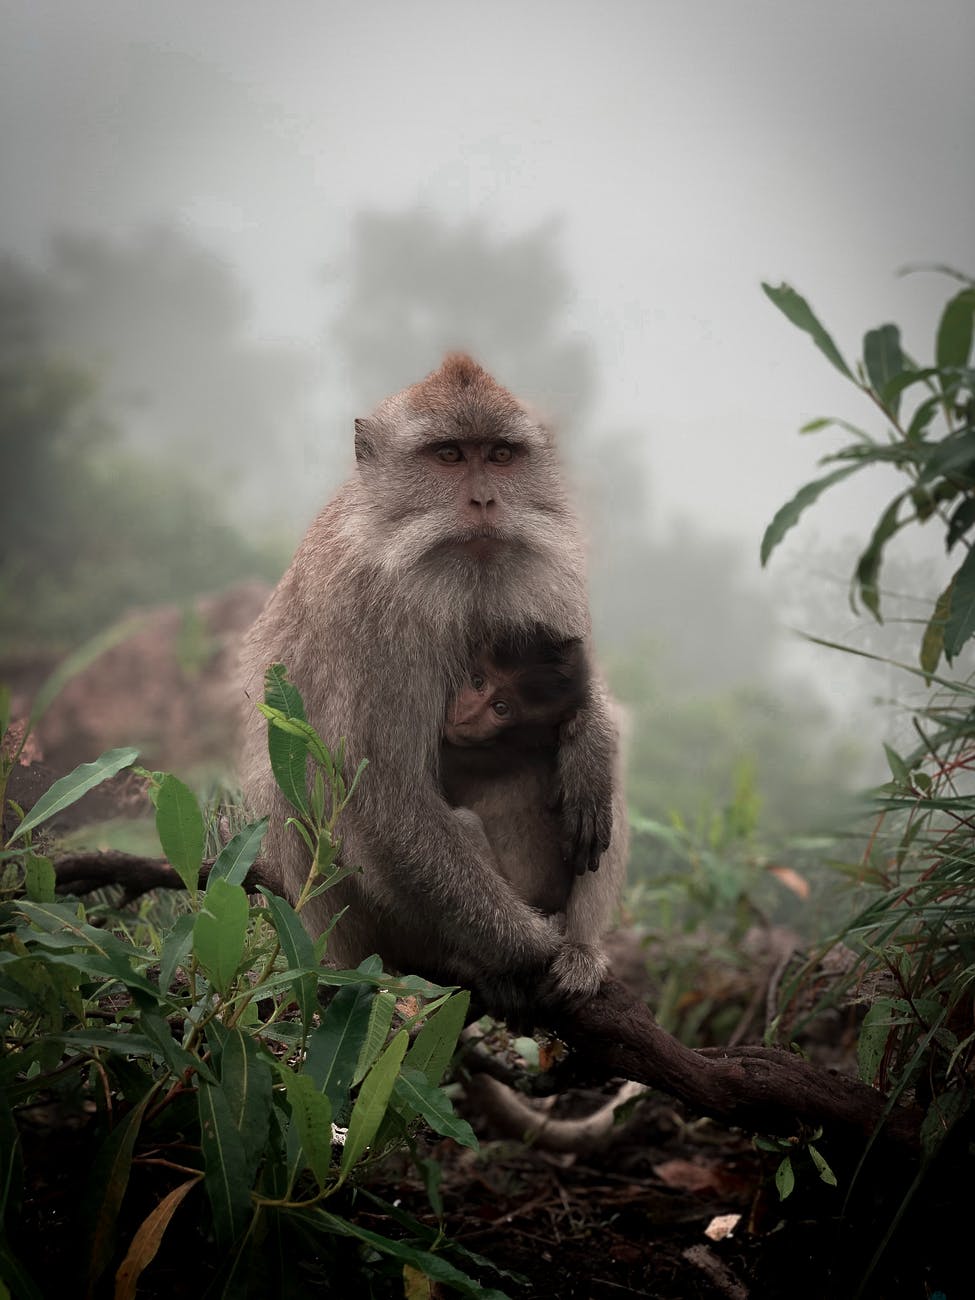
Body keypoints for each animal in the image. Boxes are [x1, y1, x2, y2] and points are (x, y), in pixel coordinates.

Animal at [243, 353, 626, 1013]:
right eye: (448, 455)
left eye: (500, 455)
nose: (485, 499)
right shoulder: (372, 608)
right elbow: (383, 790)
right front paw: (531, 948)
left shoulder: (552, 571)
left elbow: (580, 690)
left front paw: (591, 745)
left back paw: (581, 952)